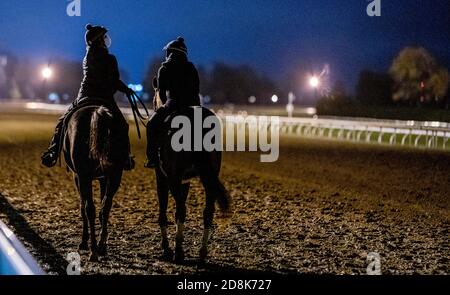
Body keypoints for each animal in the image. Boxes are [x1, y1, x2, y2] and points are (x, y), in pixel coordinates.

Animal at [63, 104, 127, 262]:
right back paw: (101, 246)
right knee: (106, 206)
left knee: (89, 209)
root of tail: (96, 112)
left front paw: (84, 241)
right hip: (115, 174)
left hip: (84, 177)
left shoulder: (78, 177)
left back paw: (93, 250)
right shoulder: (104, 178)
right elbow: (103, 207)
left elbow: (83, 207)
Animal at [151, 100, 232, 264]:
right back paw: (202, 252)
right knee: (208, 212)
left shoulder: (162, 178)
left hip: (174, 179)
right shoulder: (185, 182)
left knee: (182, 210)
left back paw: (178, 252)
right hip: (209, 177)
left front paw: (166, 248)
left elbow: (164, 212)